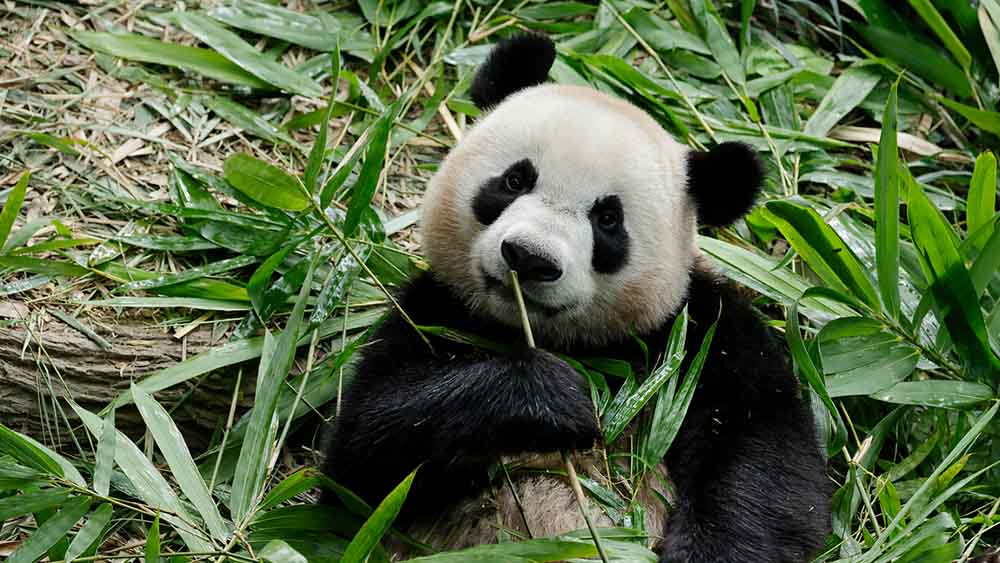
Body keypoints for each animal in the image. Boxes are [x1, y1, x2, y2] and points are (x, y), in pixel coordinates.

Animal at [321, 33, 832, 562]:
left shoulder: (702, 337)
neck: (570, 342)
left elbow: (769, 470)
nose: (529, 257)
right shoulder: (437, 312)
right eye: (515, 180)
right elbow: (364, 453)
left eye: (608, 219)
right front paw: (554, 397)